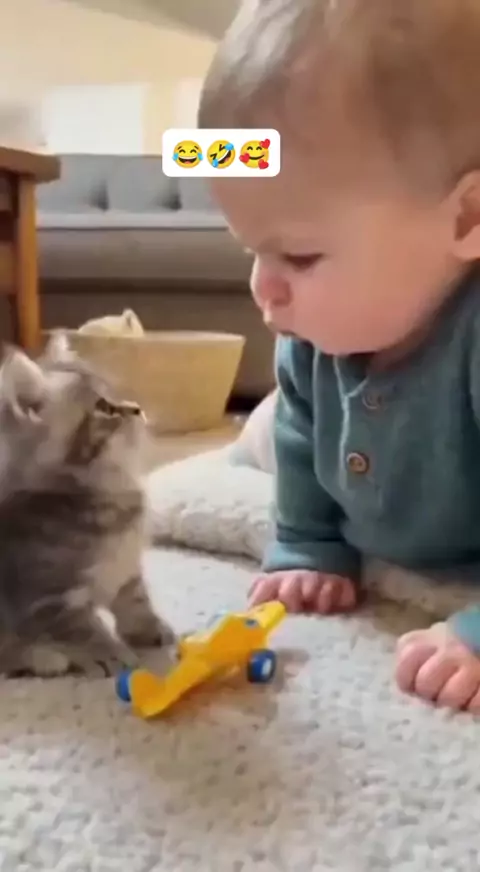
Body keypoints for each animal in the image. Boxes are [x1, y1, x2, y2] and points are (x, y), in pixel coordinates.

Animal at [0, 332, 175, 677]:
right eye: (104, 407)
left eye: (118, 394)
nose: (137, 408)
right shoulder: (48, 599)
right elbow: (84, 630)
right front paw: (110, 653)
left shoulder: (127, 569)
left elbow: (136, 601)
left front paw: (148, 629)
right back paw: (43, 658)